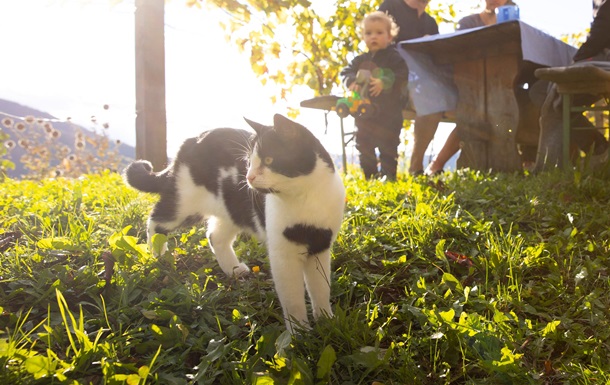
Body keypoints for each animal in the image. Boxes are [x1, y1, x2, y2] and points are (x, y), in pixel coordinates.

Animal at [123, 113, 344, 330]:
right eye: (249, 161)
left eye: (269, 159)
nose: (248, 176)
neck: (306, 199)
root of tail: (191, 140)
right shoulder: (283, 254)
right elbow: (293, 300)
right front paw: (300, 332)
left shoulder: (320, 245)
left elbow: (321, 287)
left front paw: (326, 321)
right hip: (184, 202)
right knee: (156, 219)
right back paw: (159, 256)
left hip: (231, 211)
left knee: (214, 236)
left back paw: (234, 270)